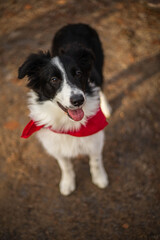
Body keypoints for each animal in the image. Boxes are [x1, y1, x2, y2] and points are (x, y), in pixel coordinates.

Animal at [18, 23, 111, 195]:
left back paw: (106, 107)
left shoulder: (95, 139)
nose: (78, 100)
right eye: (54, 79)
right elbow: (65, 166)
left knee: (100, 86)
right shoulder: (56, 145)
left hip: (99, 67)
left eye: (78, 73)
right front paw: (67, 183)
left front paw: (100, 178)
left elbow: (95, 161)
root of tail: (75, 24)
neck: (68, 124)